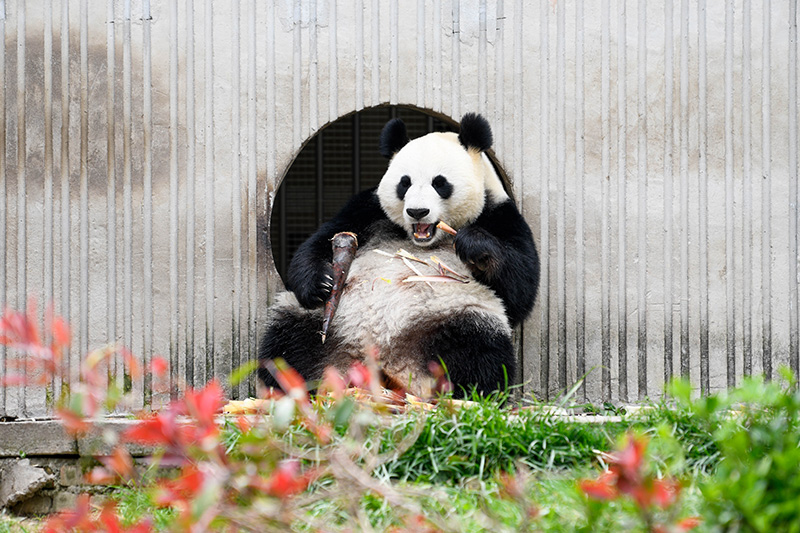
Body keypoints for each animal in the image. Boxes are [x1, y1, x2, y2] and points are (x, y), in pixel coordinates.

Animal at [260, 112, 540, 394]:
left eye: (440, 183)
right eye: (404, 183)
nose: (417, 212)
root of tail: (383, 365)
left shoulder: (500, 215)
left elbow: (519, 288)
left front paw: (473, 244)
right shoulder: (367, 210)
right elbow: (319, 242)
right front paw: (320, 283)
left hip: (456, 315)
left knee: (479, 352)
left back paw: (463, 392)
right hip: (323, 323)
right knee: (287, 345)